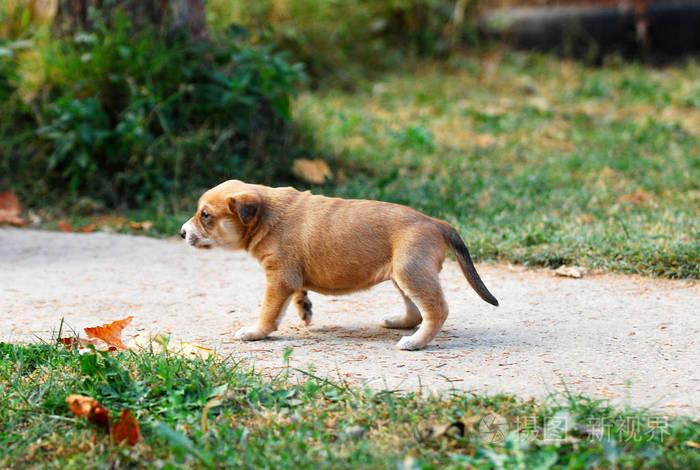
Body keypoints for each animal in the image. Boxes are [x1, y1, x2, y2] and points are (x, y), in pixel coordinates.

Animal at [180, 180, 498, 348]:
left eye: (205, 216)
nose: (182, 232)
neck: (265, 214)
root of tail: (435, 222)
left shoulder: (278, 279)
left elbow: (269, 312)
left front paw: (255, 332)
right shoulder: (290, 278)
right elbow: (298, 294)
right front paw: (304, 309)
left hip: (411, 271)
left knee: (436, 310)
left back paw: (415, 342)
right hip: (403, 273)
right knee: (416, 310)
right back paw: (400, 323)